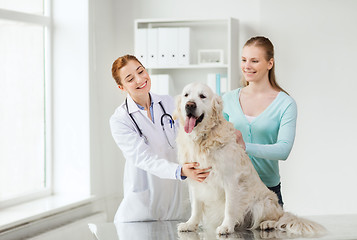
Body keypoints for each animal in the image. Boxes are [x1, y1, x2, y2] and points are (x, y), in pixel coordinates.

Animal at [174, 82, 324, 236]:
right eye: (186, 95)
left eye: (202, 96)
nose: (190, 105)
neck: (202, 138)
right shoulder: (196, 179)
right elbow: (196, 207)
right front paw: (190, 224)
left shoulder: (230, 180)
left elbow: (229, 207)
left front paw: (226, 226)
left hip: (263, 203)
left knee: (278, 219)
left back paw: (268, 223)